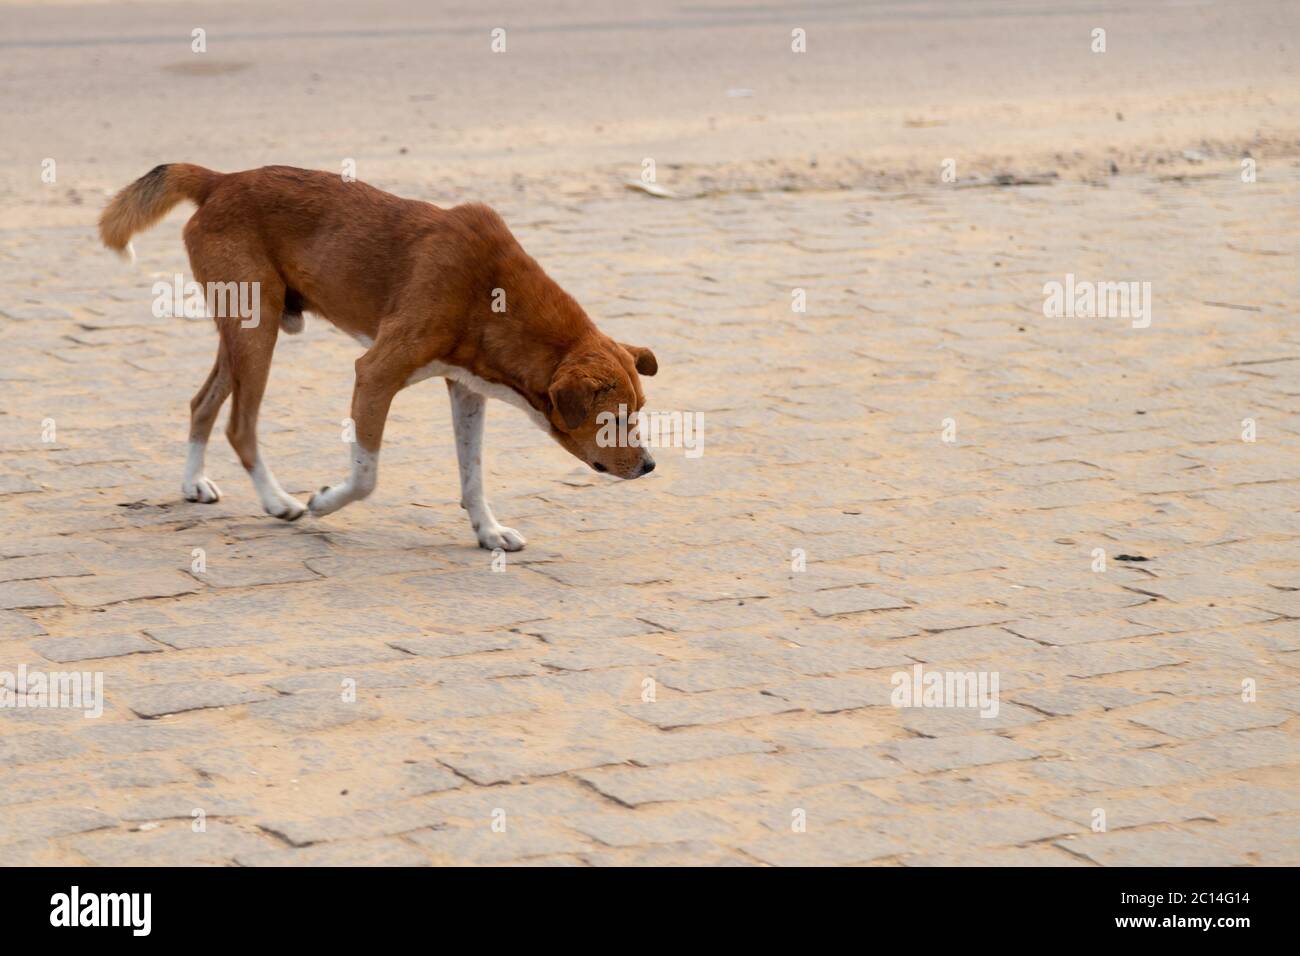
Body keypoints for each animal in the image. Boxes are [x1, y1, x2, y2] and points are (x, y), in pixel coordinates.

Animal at [98, 164, 660, 548]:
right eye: (612, 419)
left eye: (639, 413)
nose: (650, 465)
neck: (494, 292)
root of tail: (221, 180)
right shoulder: (375, 374)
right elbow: (366, 476)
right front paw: (324, 502)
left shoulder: (467, 389)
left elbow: (473, 474)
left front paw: (488, 531)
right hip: (257, 333)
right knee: (240, 425)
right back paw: (278, 502)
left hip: (243, 331)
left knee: (202, 403)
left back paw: (193, 482)